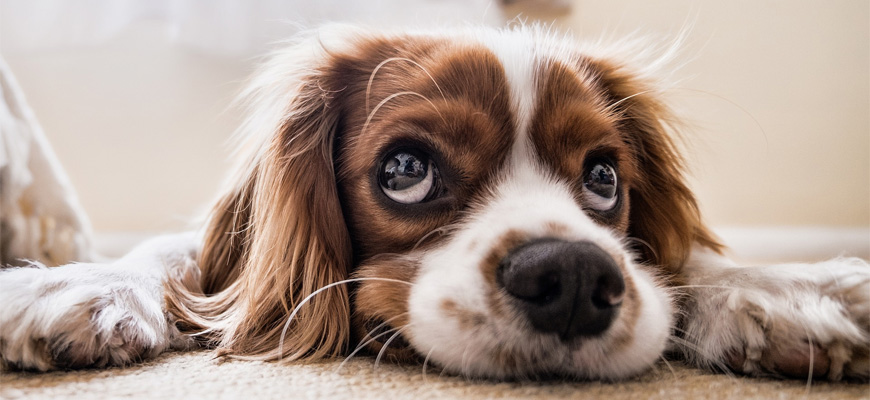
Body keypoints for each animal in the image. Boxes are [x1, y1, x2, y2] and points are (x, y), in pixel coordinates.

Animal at [1, 25, 870, 382]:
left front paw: (786, 290)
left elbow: (688, 260)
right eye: (406, 169)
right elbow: (177, 256)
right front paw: (77, 284)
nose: (573, 278)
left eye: (603, 178)